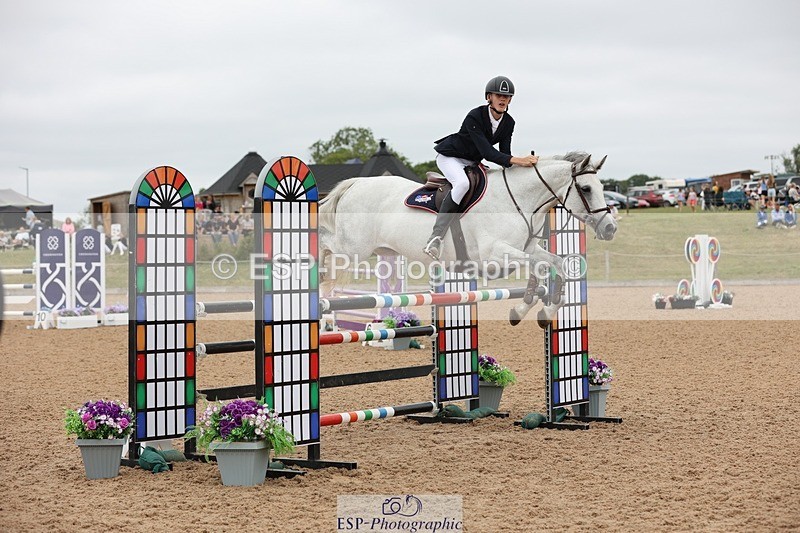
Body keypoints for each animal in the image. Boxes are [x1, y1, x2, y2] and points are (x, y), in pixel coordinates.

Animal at [318, 152, 617, 326]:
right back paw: (321, 306)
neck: (517, 200)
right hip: (352, 249)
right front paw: (527, 309)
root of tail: (355, 183)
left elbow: (555, 264)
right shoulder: (494, 255)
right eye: (586, 189)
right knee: (326, 251)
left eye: (602, 187)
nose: (610, 228)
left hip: (381, 250)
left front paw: (542, 312)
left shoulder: (529, 249)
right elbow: (541, 267)